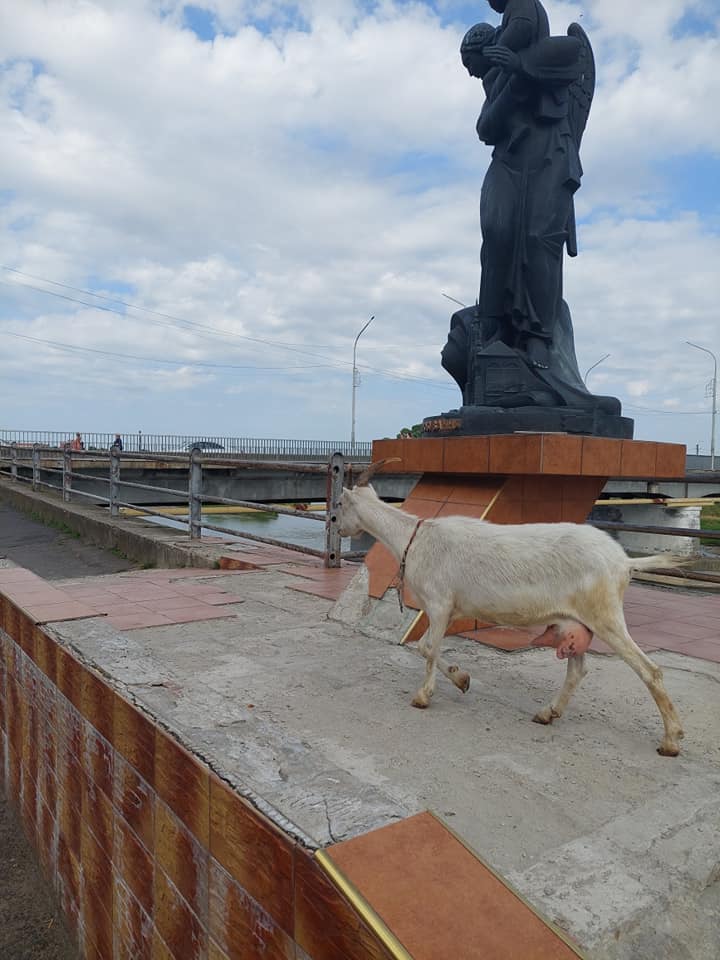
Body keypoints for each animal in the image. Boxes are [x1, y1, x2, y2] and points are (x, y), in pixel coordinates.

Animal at [338, 464, 688, 756]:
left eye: (340, 504)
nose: (337, 527)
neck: (415, 539)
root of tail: (624, 561)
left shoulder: (438, 604)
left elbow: (425, 648)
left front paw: (424, 696)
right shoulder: (448, 611)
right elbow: (430, 649)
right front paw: (462, 679)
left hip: (604, 614)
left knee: (649, 670)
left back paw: (671, 740)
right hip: (575, 621)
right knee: (577, 669)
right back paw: (547, 713)